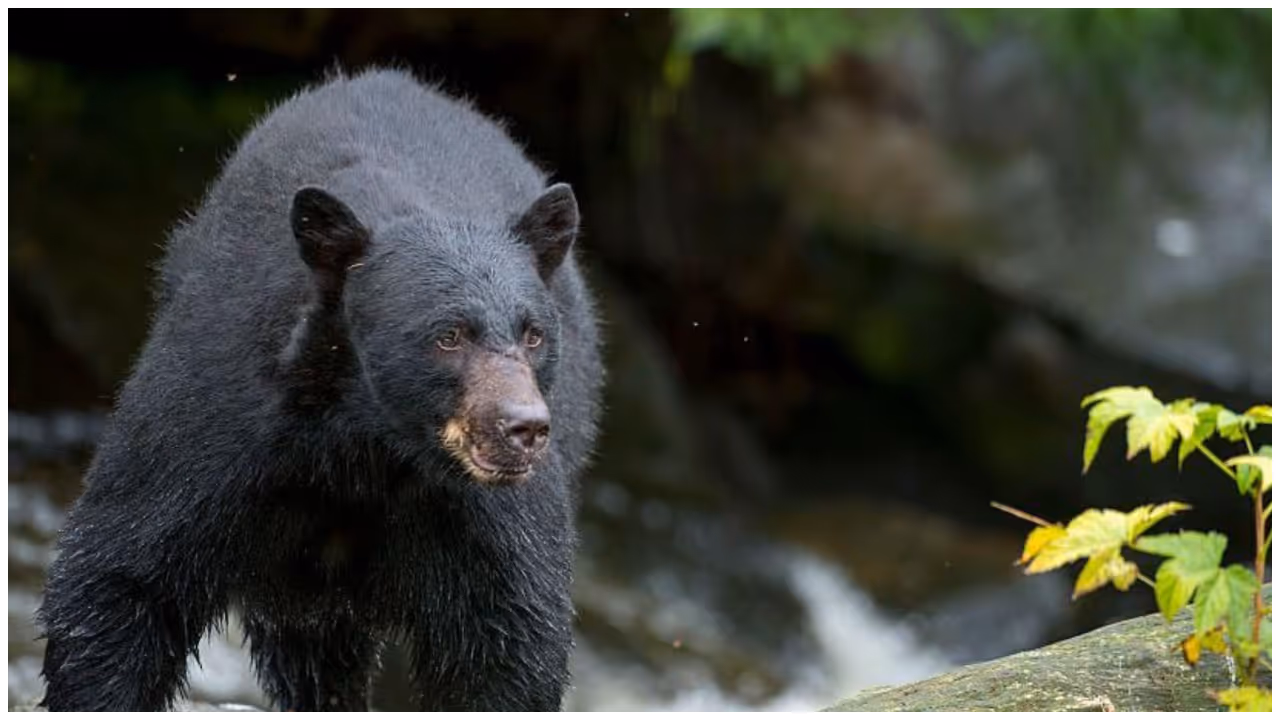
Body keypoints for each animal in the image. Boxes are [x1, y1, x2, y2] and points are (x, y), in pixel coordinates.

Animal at [37, 68, 604, 711]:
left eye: (533, 334)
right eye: (449, 335)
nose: (523, 427)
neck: (367, 444)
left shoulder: (479, 512)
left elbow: (507, 632)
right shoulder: (222, 413)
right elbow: (126, 571)